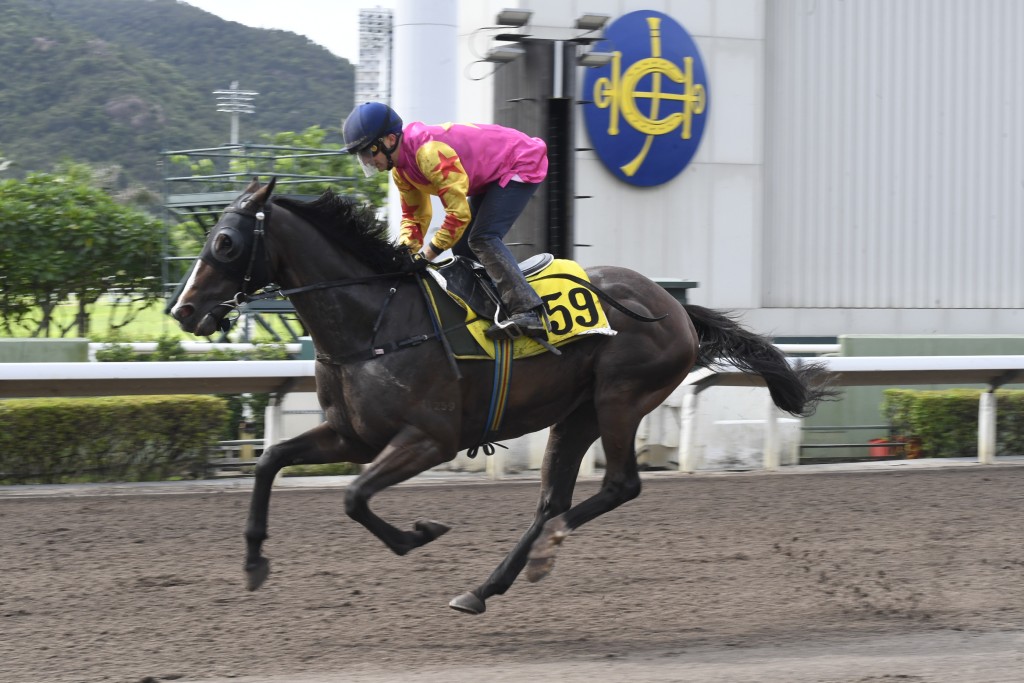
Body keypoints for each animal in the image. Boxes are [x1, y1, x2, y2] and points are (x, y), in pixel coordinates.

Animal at [167, 176, 831, 614]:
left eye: (225, 242)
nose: (184, 311)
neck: (374, 323)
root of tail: (674, 305)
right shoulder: (351, 434)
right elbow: (270, 462)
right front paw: (254, 562)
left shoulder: (429, 439)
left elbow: (354, 497)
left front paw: (418, 534)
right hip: (575, 415)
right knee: (551, 500)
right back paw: (485, 588)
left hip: (619, 397)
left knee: (619, 486)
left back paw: (542, 553)